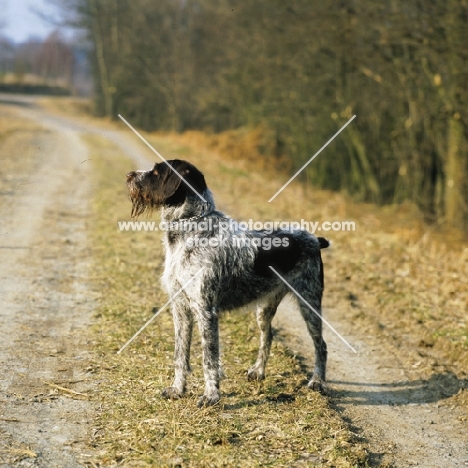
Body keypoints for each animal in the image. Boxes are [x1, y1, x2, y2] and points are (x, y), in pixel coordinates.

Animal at [125, 160, 330, 406]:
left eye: (156, 172)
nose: (128, 175)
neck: (190, 226)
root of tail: (314, 239)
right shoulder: (180, 308)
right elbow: (180, 355)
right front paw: (177, 389)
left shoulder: (206, 311)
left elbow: (209, 359)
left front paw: (211, 395)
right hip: (265, 308)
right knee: (268, 336)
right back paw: (258, 371)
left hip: (309, 303)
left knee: (321, 346)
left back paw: (317, 382)